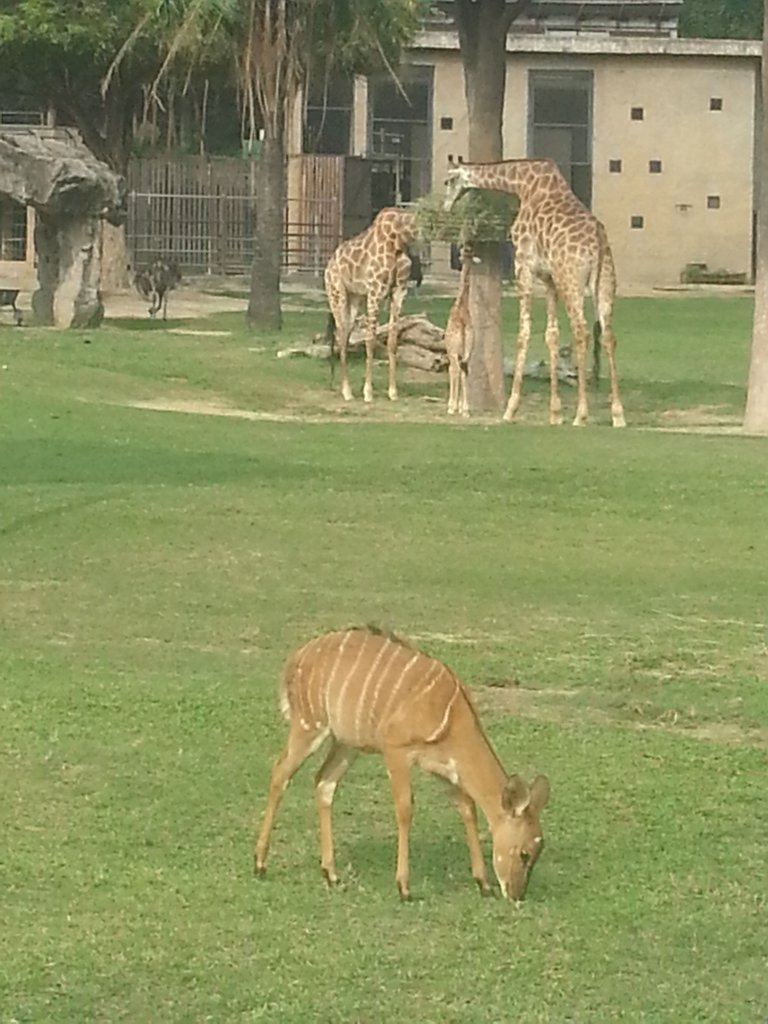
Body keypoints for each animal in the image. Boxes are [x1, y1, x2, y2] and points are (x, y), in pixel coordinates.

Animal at [256, 626, 548, 901]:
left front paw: (483, 884)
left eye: (538, 852)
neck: (451, 716)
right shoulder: (396, 750)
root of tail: (296, 658)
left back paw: (331, 874)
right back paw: (260, 865)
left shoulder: (443, 768)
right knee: (280, 773)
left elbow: (467, 807)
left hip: (347, 743)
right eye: (524, 853)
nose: (516, 894)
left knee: (324, 781)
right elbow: (405, 809)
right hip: (309, 725)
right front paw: (404, 888)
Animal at [325, 205, 421, 401]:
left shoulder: (399, 291)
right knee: (340, 335)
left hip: (355, 298)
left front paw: (393, 392)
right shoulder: (375, 291)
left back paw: (346, 390)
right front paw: (368, 392)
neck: (399, 238)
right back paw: (347, 392)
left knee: (345, 335)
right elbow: (370, 340)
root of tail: (328, 266)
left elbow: (392, 341)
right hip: (337, 293)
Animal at [442, 156, 626, 428]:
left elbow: (524, 333)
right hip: (604, 283)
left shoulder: (524, 266)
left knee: (581, 331)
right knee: (608, 336)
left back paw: (581, 414)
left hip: (570, 279)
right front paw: (555, 413)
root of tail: (598, 242)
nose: (446, 206)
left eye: (449, 181)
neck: (522, 184)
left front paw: (511, 409)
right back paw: (618, 414)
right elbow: (552, 335)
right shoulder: (549, 279)